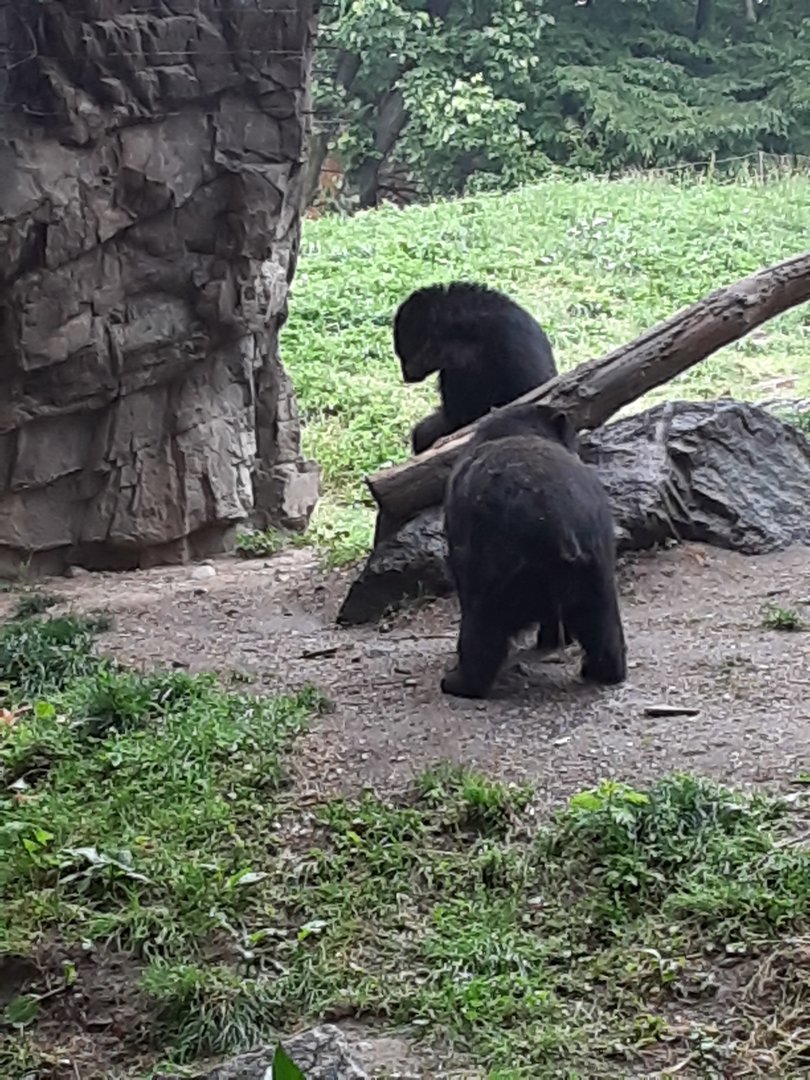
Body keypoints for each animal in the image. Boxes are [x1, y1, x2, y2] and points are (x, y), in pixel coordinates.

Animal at [440, 402, 627, 699]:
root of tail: (558, 522)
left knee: (482, 626)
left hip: (496, 568)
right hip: (594, 568)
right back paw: (603, 670)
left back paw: (461, 682)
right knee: (602, 621)